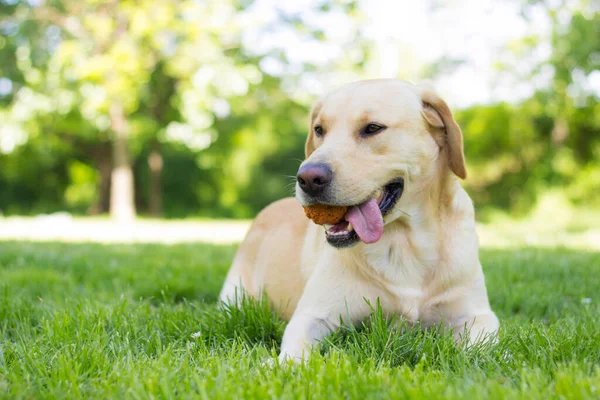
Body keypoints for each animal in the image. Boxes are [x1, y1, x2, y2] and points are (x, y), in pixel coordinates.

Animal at [218, 79, 500, 362]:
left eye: (373, 128)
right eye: (319, 130)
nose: (308, 178)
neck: (403, 242)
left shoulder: (478, 316)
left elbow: (481, 351)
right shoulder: (313, 315)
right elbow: (295, 350)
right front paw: (280, 364)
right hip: (234, 296)